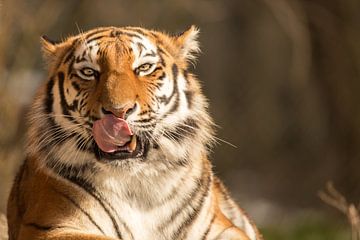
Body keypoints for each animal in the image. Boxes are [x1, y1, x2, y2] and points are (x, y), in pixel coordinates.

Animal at [7, 25, 262, 239]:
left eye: (144, 68)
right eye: (89, 72)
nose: (118, 111)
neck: (137, 185)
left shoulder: (224, 228)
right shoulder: (52, 225)